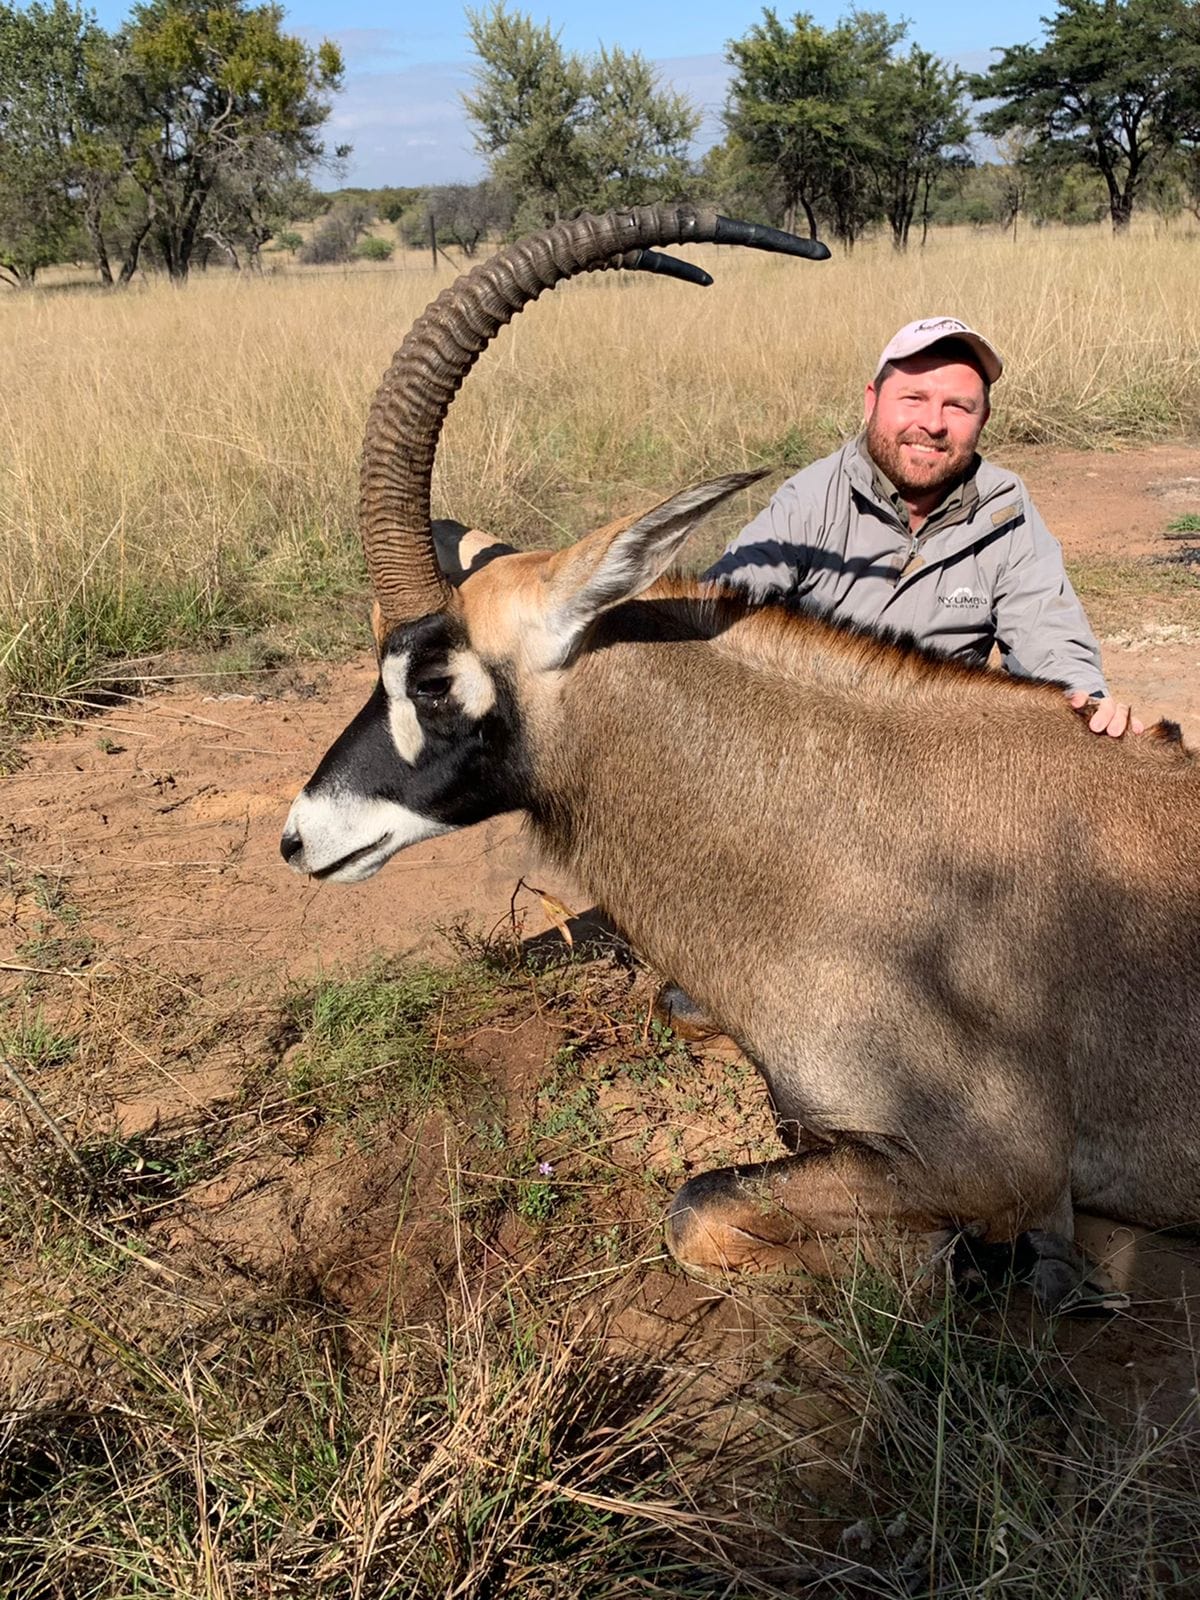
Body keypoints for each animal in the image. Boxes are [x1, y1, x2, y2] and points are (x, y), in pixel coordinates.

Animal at [281, 205, 1200, 1310]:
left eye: (431, 677)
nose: (299, 836)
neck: (847, 831)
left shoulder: (999, 1161)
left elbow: (699, 1206)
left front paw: (987, 1264)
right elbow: (687, 1025)